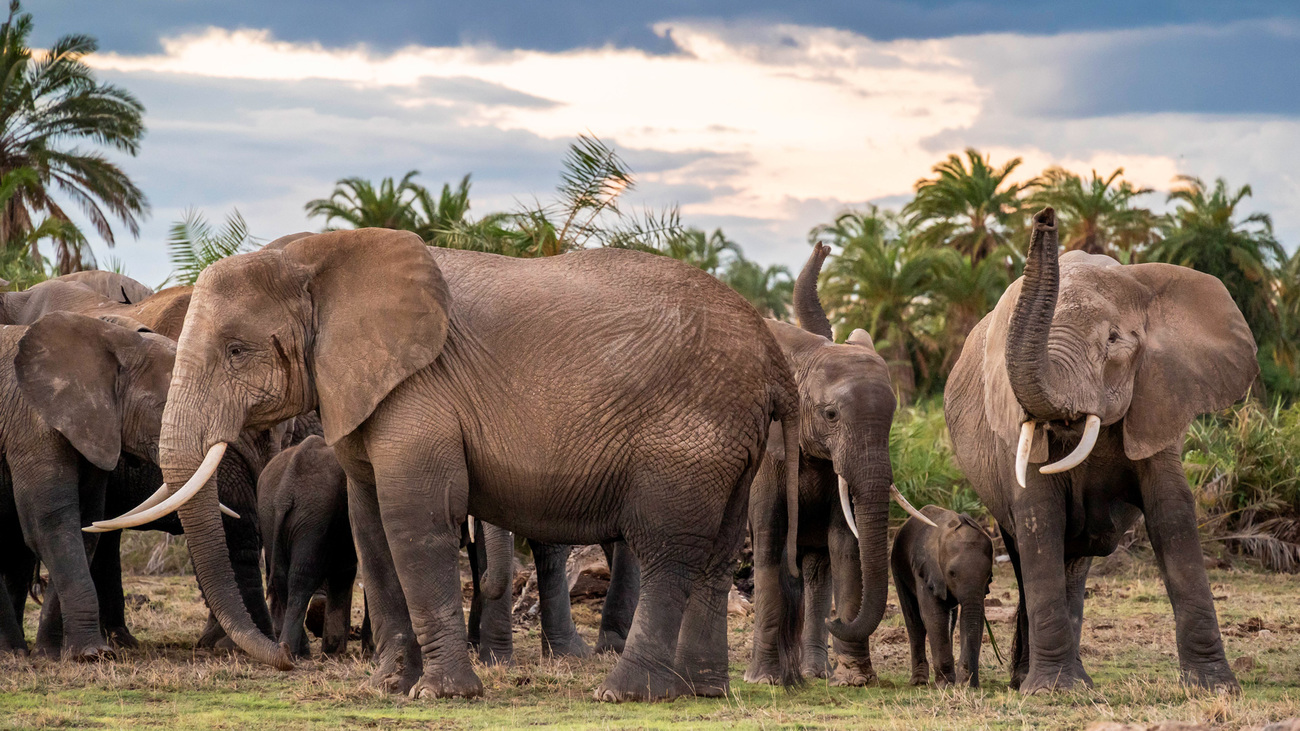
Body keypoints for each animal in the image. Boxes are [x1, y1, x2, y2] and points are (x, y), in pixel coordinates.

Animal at [258, 435, 358, 658]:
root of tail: (285, 492)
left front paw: (333, 651)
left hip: (269, 514)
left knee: (282, 576)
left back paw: (296, 649)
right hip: (313, 517)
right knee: (302, 577)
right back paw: (295, 650)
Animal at [891, 505, 992, 688]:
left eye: (988, 574)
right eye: (952, 573)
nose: (973, 684)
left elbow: (972, 617)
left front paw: (962, 683)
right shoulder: (925, 570)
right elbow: (934, 616)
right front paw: (945, 685)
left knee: (950, 620)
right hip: (897, 566)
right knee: (913, 620)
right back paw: (919, 682)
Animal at [944, 207, 1256, 693]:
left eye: (1112, 340)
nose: (1045, 216)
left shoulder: (1158, 398)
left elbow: (1172, 512)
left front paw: (1214, 687)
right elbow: (1038, 516)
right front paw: (1053, 693)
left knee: (1075, 563)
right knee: (1027, 551)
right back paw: (1036, 680)